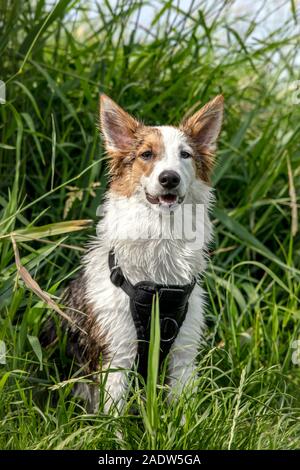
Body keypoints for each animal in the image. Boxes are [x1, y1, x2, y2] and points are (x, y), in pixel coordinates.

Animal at [42, 93, 225, 414]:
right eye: (146, 155)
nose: (169, 178)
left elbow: (183, 411)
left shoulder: (184, 356)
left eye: (185, 155)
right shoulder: (117, 356)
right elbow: (113, 417)